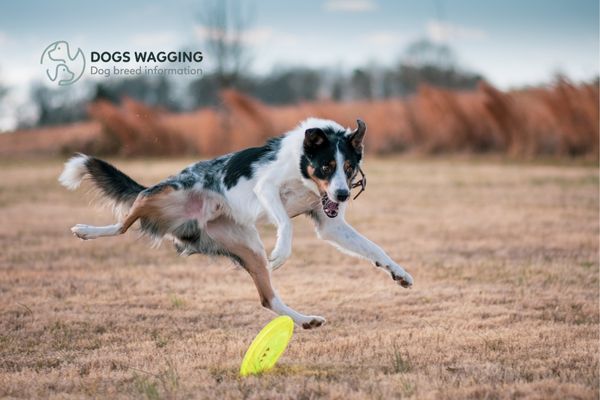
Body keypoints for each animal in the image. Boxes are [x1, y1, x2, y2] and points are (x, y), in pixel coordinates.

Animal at [58, 118, 412, 328]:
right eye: (326, 166)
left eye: (349, 167)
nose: (342, 195)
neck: (301, 169)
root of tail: (194, 222)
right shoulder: (266, 188)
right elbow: (286, 224)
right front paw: (281, 252)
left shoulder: (331, 224)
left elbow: (374, 248)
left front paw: (399, 273)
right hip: (160, 193)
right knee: (123, 222)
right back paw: (86, 231)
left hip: (249, 246)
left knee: (268, 299)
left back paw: (304, 320)